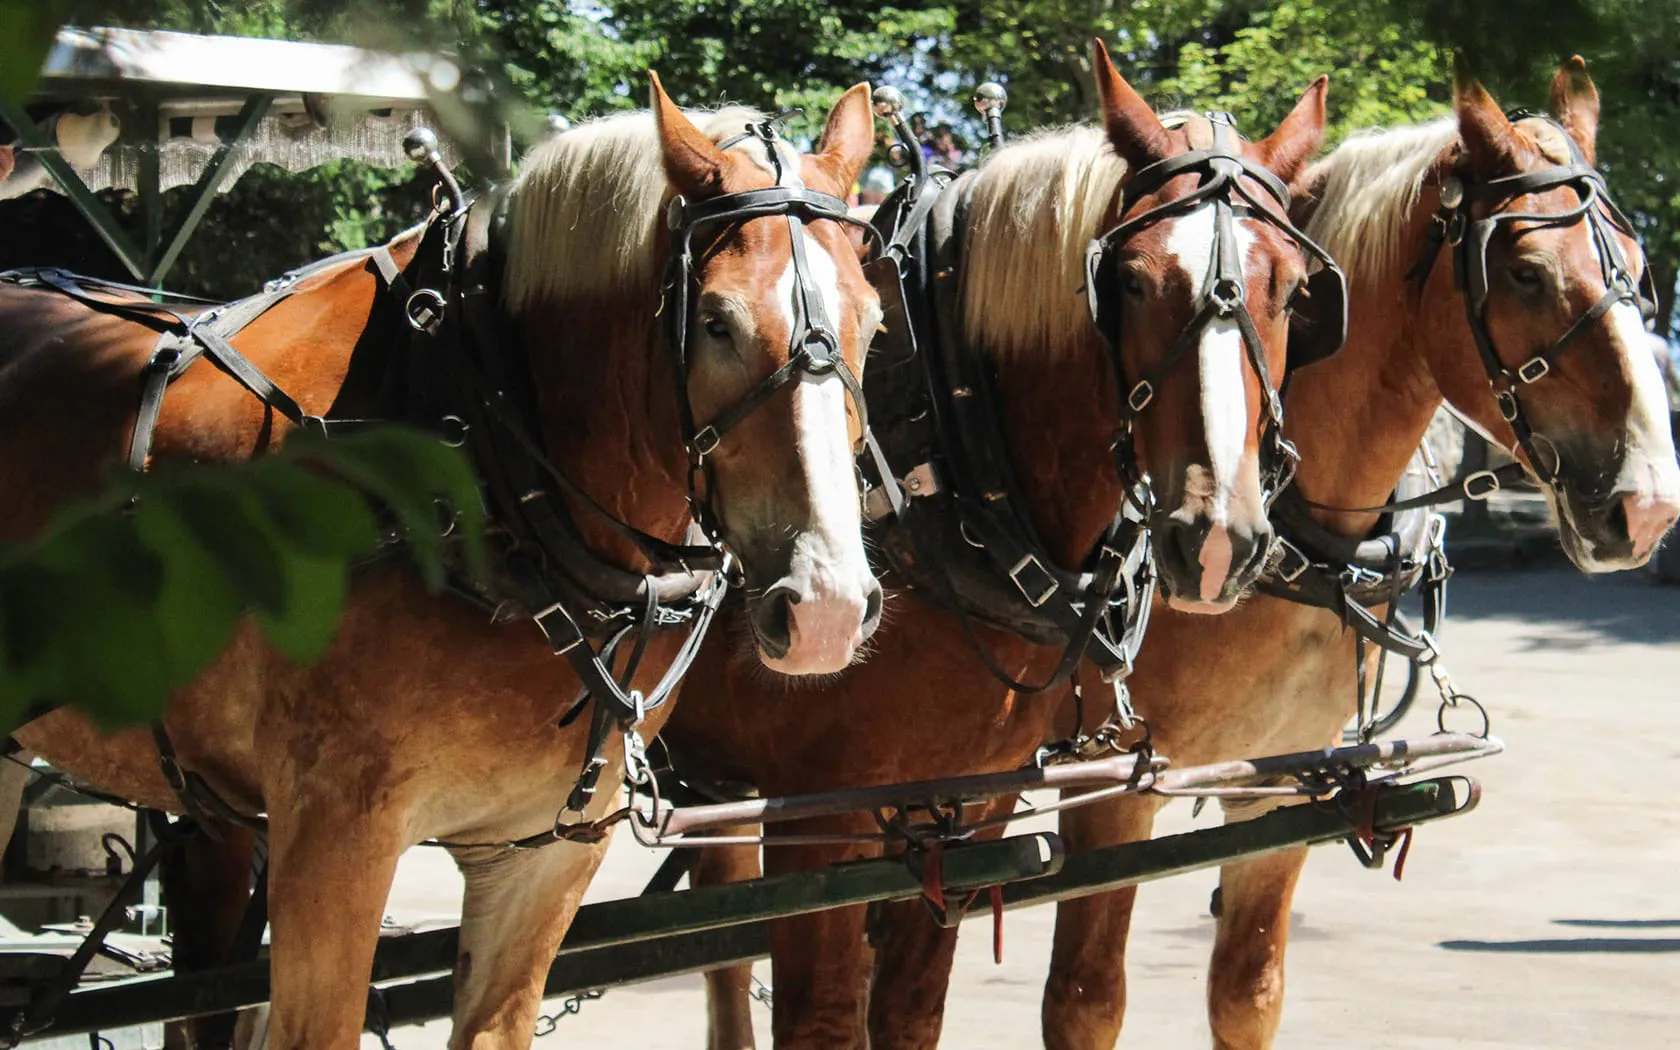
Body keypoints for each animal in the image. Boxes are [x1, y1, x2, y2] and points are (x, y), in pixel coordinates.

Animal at [668, 43, 1338, 1049]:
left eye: (1296, 291)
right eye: (1128, 281)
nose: (1216, 539)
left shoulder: (965, 811)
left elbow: (908, 1010)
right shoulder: (817, 825)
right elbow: (826, 1017)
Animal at [1025, 57, 1680, 1050]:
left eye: (1640, 272)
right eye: (1525, 274)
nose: (1647, 507)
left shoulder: (1277, 788)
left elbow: (1247, 993)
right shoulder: (1112, 797)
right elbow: (1084, 1000)